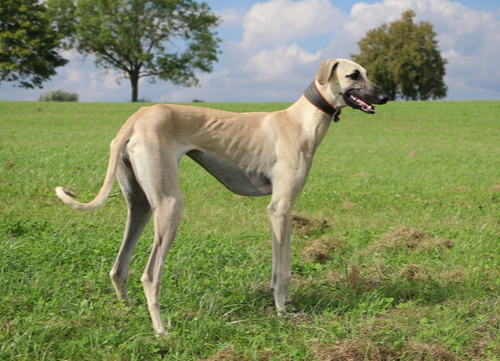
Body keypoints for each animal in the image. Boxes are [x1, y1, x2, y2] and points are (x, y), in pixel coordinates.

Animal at [55, 57, 390, 334]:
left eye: (367, 73)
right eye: (353, 74)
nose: (385, 97)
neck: (301, 120)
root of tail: (137, 117)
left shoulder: (283, 211)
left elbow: (281, 267)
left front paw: (285, 304)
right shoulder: (279, 208)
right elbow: (282, 271)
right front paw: (282, 312)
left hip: (140, 205)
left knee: (119, 268)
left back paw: (129, 311)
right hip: (169, 205)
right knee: (149, 276)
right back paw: (162, 331)